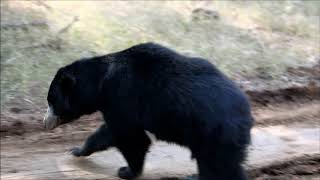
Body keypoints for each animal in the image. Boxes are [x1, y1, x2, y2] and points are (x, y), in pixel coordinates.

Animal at [43, 43, 252, 179]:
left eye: (51, 101)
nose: (45, 123)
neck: (100, 83)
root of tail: (246, 114)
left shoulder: (121, 97)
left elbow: (130, 137)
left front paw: (126, 171)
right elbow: (108, 132)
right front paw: (77, 150)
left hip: (214, 133)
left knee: (219, 167)